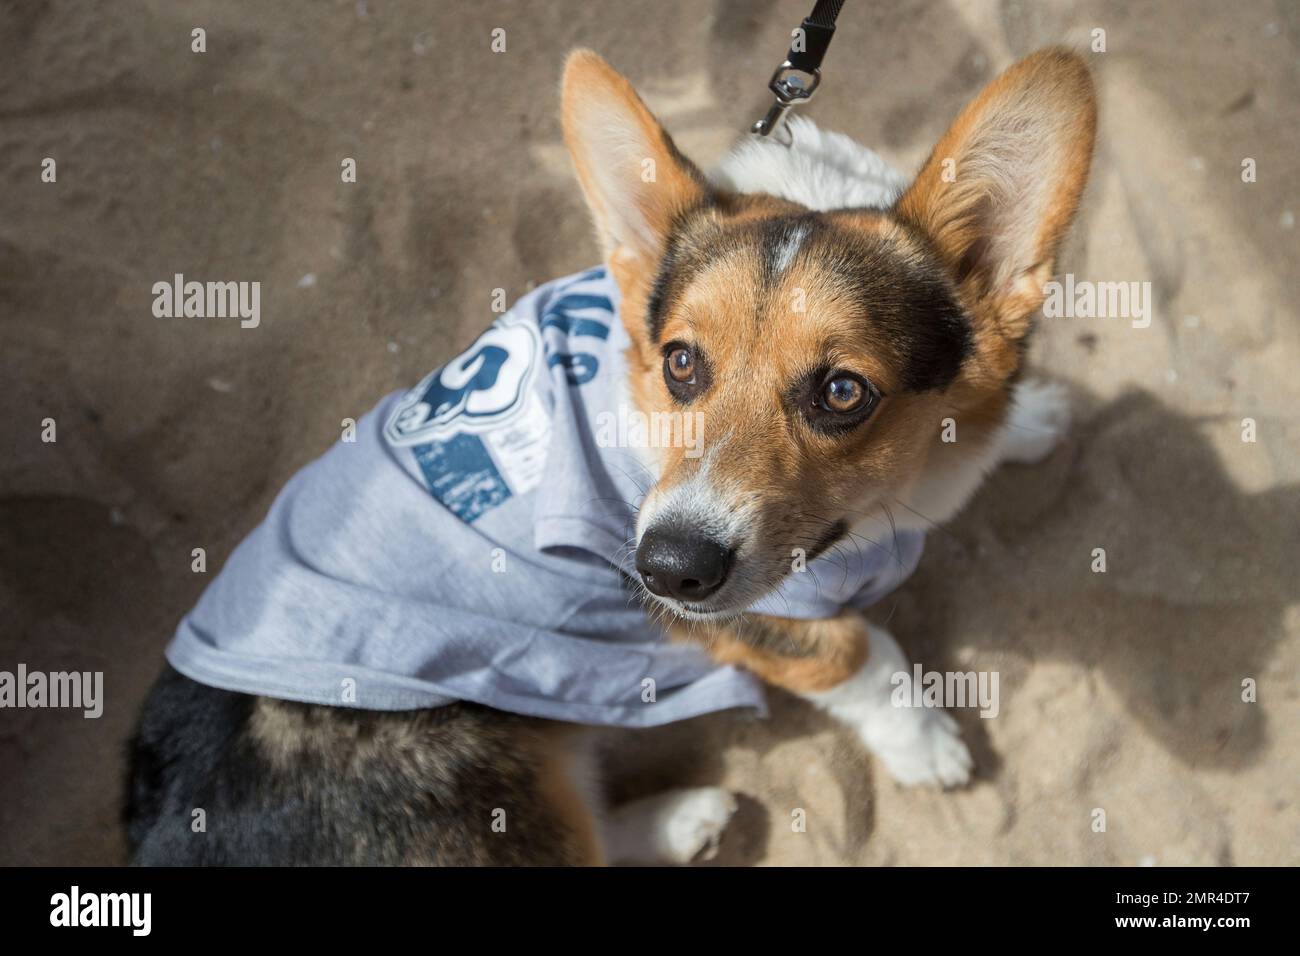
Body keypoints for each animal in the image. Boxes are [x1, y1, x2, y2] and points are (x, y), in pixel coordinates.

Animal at [124, 46, 1097, 868]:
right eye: (681, 363)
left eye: (844, 392)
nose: (668, 569)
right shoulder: (756, 611)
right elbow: (859, 649)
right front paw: (925, 742)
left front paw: (1033, 420)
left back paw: (686, 819)